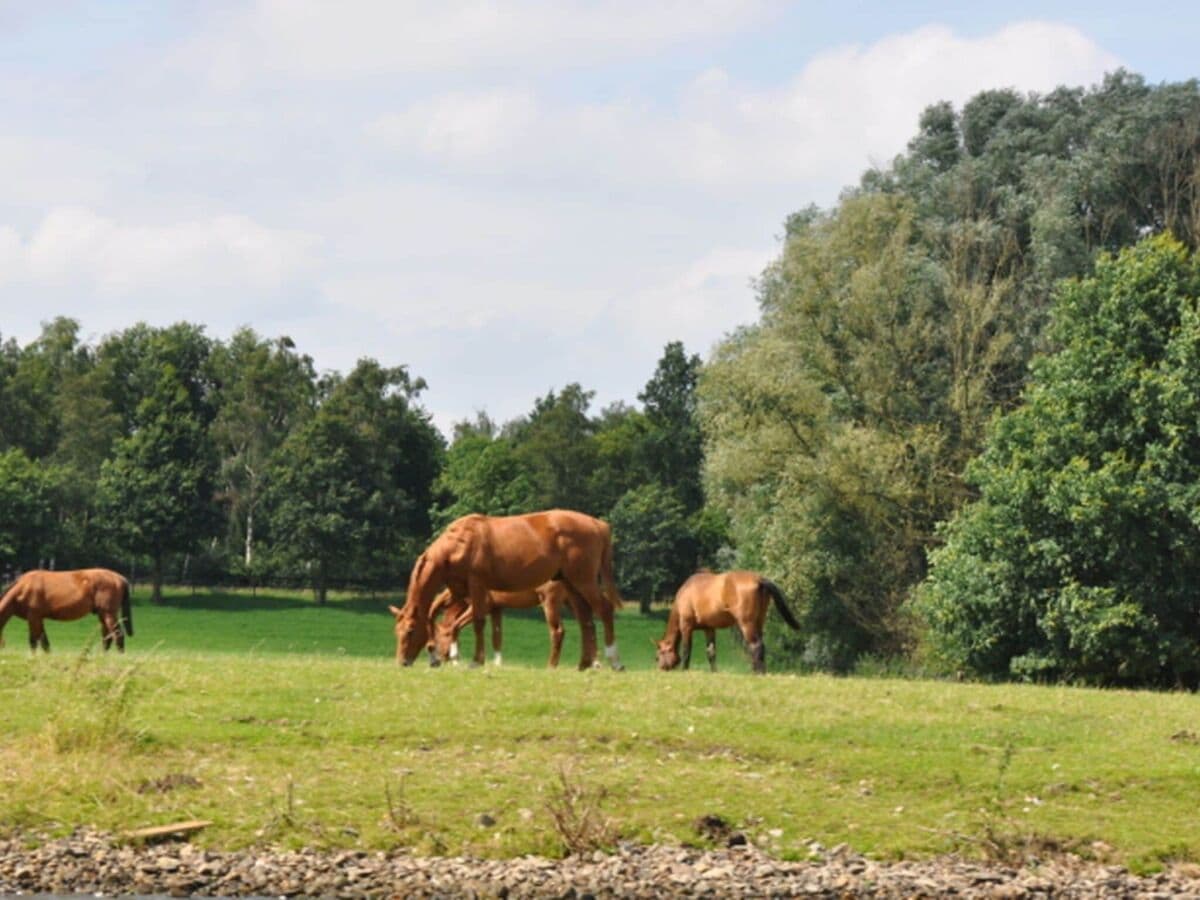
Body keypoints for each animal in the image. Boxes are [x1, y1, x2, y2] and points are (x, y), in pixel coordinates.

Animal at [0, 571, 133, 657]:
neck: (22, 589)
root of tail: (121, 578)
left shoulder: (33, 617)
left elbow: (34, 641)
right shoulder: (38, 619)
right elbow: (44, 641)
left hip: (108, 614)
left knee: (118, 635)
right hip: (103, 615)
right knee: (107, 637)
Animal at [429, 585, 583, 672]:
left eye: (436, 638)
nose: (437, 662)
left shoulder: (482, 607)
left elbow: (455, 627)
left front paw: (456, 659)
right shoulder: (496, 608)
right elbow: (497, 637)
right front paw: (497, 664)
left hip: (550, 602)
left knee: (557, 632)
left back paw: (551, 666)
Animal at [652, 573, 801, 672]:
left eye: (658, 656)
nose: (660, 669)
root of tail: (759, 579)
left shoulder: (686, 626)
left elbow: (686, 650)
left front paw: (684, 670)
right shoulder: (709, 628)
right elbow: (711, 652)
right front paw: (714, 672)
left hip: (746, 623)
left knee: (756, 646)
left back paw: (758, 672)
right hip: (759, 621)